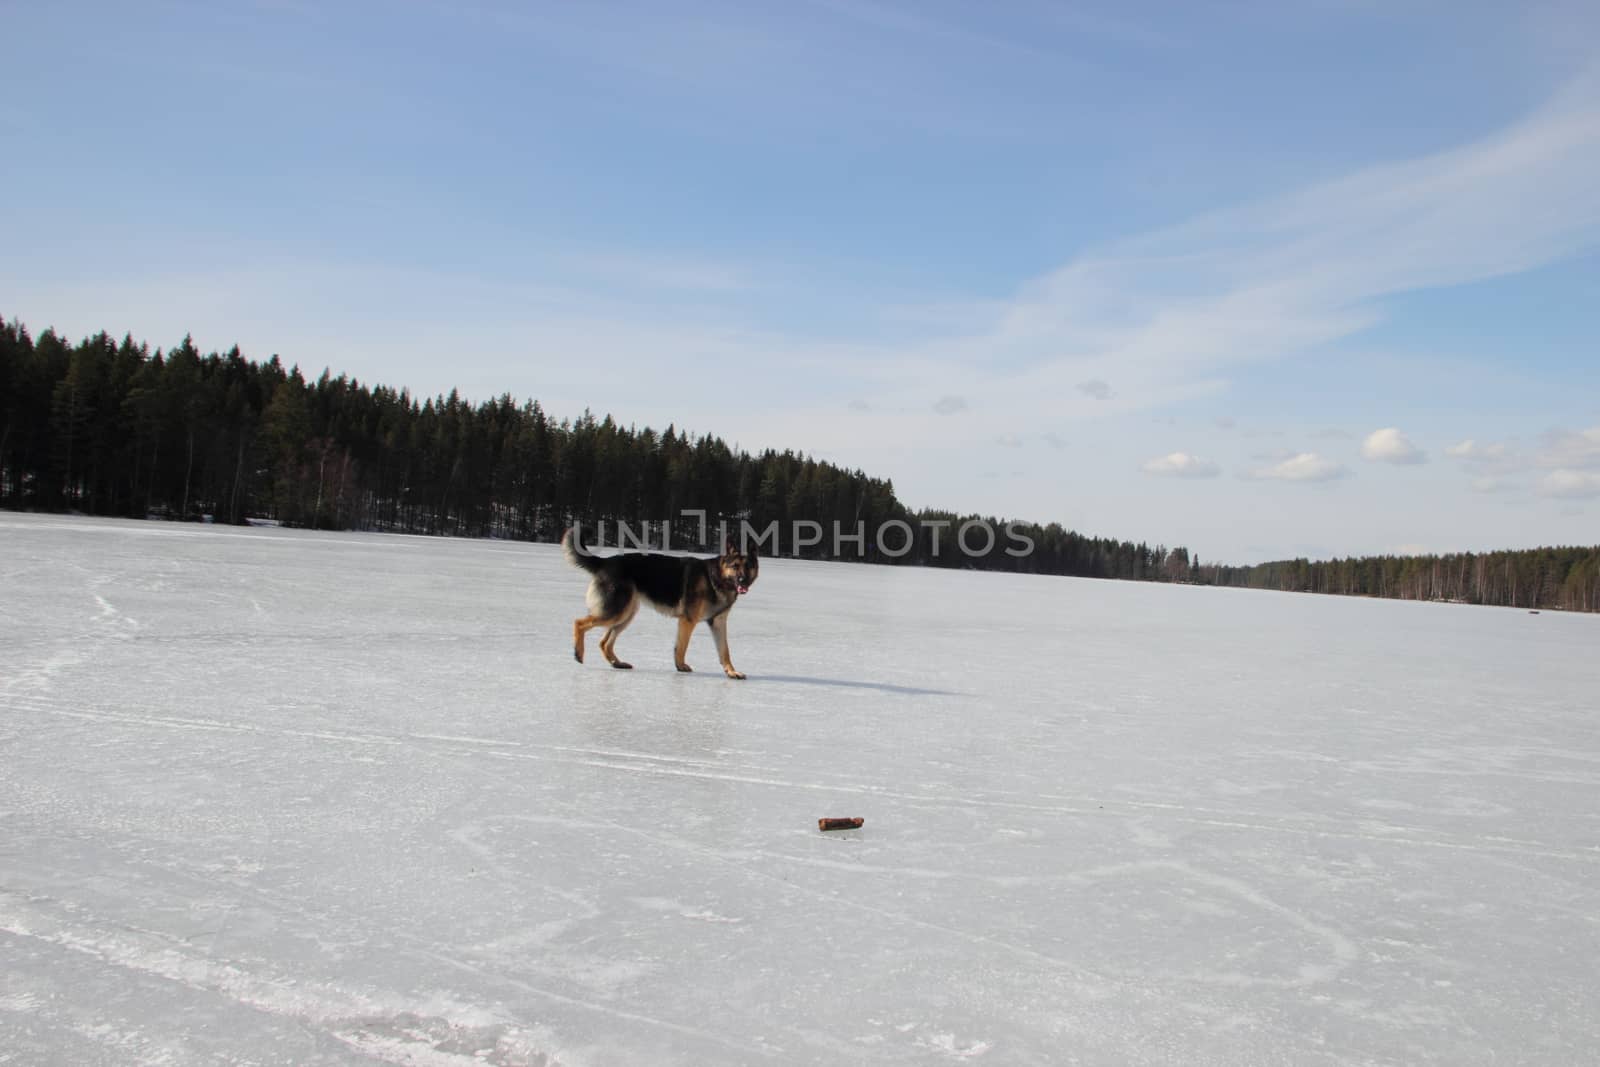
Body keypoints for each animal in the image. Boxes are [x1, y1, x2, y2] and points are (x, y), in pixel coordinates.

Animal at [566, 527, 758, 684]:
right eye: (735, 566)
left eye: (748, 566)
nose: (743, 581)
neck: (715, 577)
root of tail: (605, 561)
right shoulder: (688, 621)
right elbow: (681, 647)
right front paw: (681, 666)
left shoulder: (718, 623)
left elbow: (724, 651)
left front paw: (732, 672)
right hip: (616, 612)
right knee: (579, 623)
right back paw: (578, 652)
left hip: (626, 614)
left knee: (604, 643)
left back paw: (618, 663)